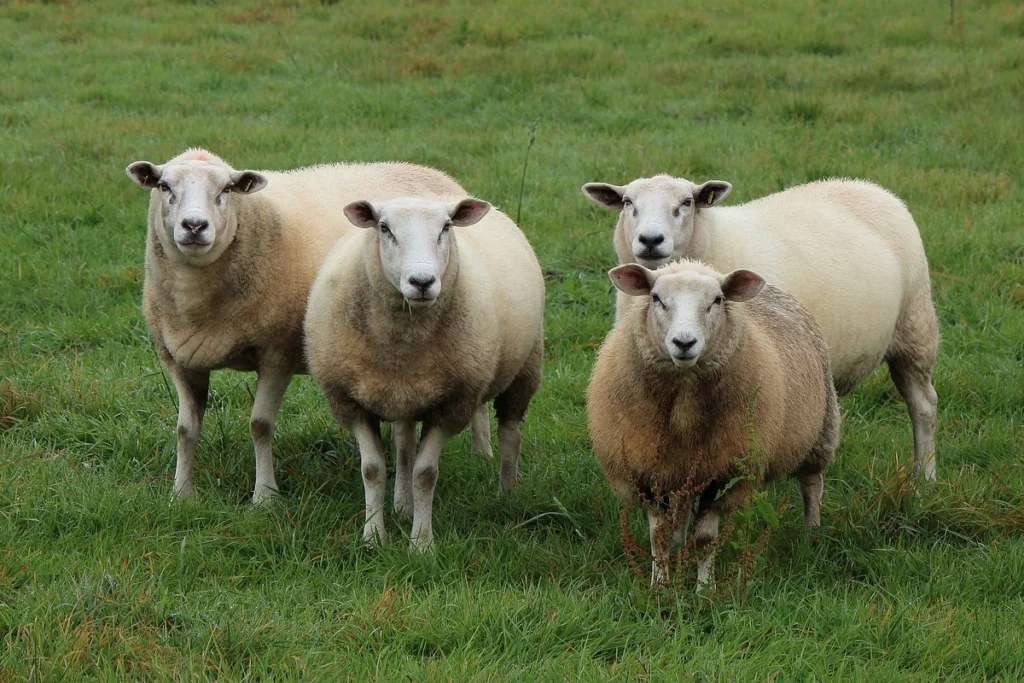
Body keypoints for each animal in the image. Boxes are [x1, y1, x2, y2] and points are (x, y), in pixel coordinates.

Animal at [125, 147, 484, 504]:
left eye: (226, 190)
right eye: (164, 187)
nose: (194, 225)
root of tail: (434, 173)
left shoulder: (277, 354)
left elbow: (260, 426)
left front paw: (265, 495)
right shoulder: (180, 359)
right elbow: (185, 430)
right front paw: (181, 493)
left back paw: (482, 454)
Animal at [303, 196, 544, 550]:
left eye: (446, 227)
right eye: (384, 227)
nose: (422, 282)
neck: (401, 345)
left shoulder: (453, 405)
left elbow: (425, 473)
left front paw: (421, 543)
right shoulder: (349, 401)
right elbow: (372, 469)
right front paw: (373, 537)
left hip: (525, 369)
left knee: (511, 433)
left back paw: (508, 493)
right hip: (403, 394)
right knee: (404, 444)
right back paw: (402, 504)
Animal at [582, 176, 938, 481]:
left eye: (686, 202)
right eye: (628, 202)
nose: (651, 240)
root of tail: (869, 186)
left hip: (914, 328)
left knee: (923, 406)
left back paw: (924, 477)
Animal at [587, 260, 839, 587]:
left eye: (717, 300)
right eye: (656, 298)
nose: (684, 343)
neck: (684, 408)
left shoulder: (724, 472)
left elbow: (705, 538)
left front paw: (704, 588)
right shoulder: (647, 471)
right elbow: (658, 536)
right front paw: (660, 585)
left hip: (821, 430)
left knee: (812, 485)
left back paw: (812, 533)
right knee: (682, 509)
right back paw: (679, 541)